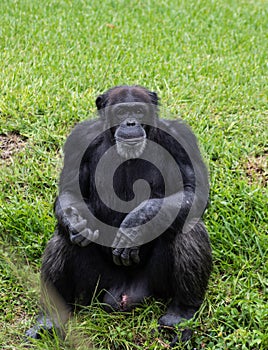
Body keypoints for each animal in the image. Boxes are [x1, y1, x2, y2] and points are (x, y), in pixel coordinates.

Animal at [26, 85, 211, 348]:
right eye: (122, 111)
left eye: (138, 111)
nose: (131, 122)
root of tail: (123, 294)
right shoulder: (79, 139)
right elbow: (71, 192)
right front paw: (78, 223)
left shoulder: (180, 138)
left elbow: (193, 191)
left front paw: (136, 224)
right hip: (95, 287)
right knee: (64, 236)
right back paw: (50, 318)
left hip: (153, 285)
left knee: (188, 227)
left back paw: (181, 314)